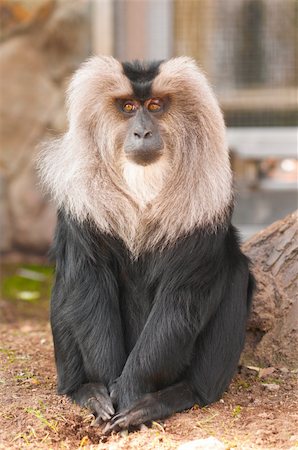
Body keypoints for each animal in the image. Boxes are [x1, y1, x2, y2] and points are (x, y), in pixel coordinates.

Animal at [38, 56, 254, 432]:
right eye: (128, 107)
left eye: (154, 106)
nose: (142, 133)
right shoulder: (80, 208)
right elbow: (87, 280)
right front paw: (104, 395)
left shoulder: (205, 208)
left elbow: (182, 297)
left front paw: (132, 398)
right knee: (67, 284)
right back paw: (85, 390)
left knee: (236, 274)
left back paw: (175, 397)